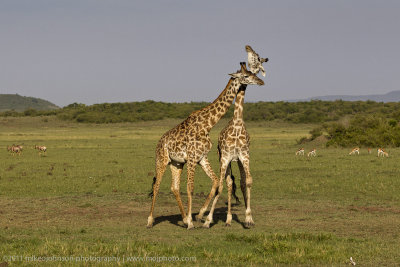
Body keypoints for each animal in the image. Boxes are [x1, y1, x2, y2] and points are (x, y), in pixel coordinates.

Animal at [145, 63, 264, 230]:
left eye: (254, 73)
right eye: (246, 75)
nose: (261, 81)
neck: (207, 125)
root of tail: (159, 142)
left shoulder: (202, 158)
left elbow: (215, 182)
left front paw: (198, 217)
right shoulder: (192, 158)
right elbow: (190, 187)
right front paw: (191, 223)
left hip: (176, 163)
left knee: (174, 187)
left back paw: (183, 218)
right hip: (161, 160)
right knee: (157, 186)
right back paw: (150, 221)